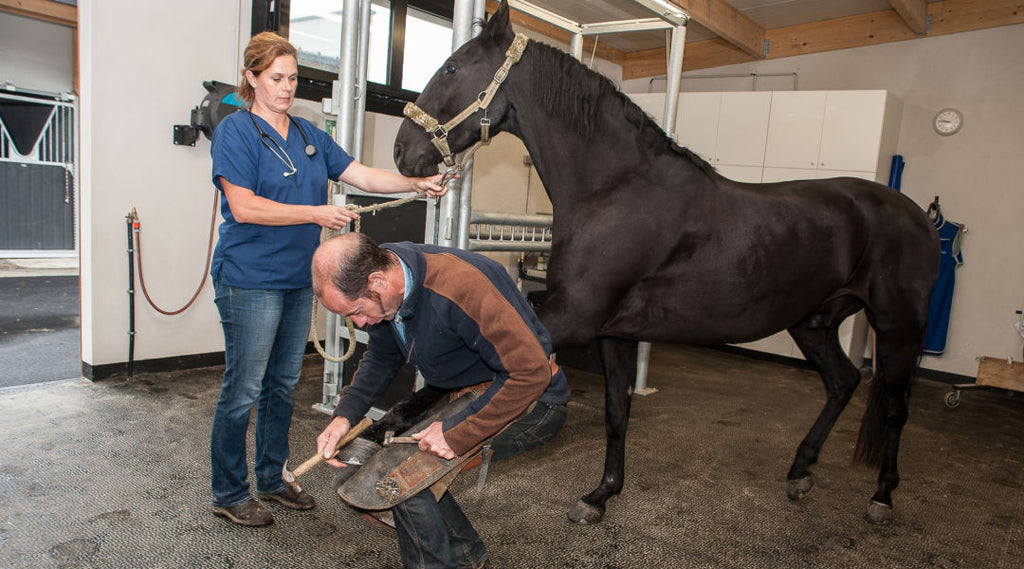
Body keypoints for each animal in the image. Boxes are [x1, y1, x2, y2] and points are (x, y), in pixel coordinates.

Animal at [391, 1, 937, 523]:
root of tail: (918, 216)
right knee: (843, 383)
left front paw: (396, 422)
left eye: (453, 68)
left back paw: (882, 497)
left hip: (897, 326)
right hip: (814, 323)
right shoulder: (613, 332)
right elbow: (616, 412)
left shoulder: (573, 317)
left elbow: (470, 368)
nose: (401, 153)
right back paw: (801, 471)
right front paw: (601, 495)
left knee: (896, 406)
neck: (616, 189)